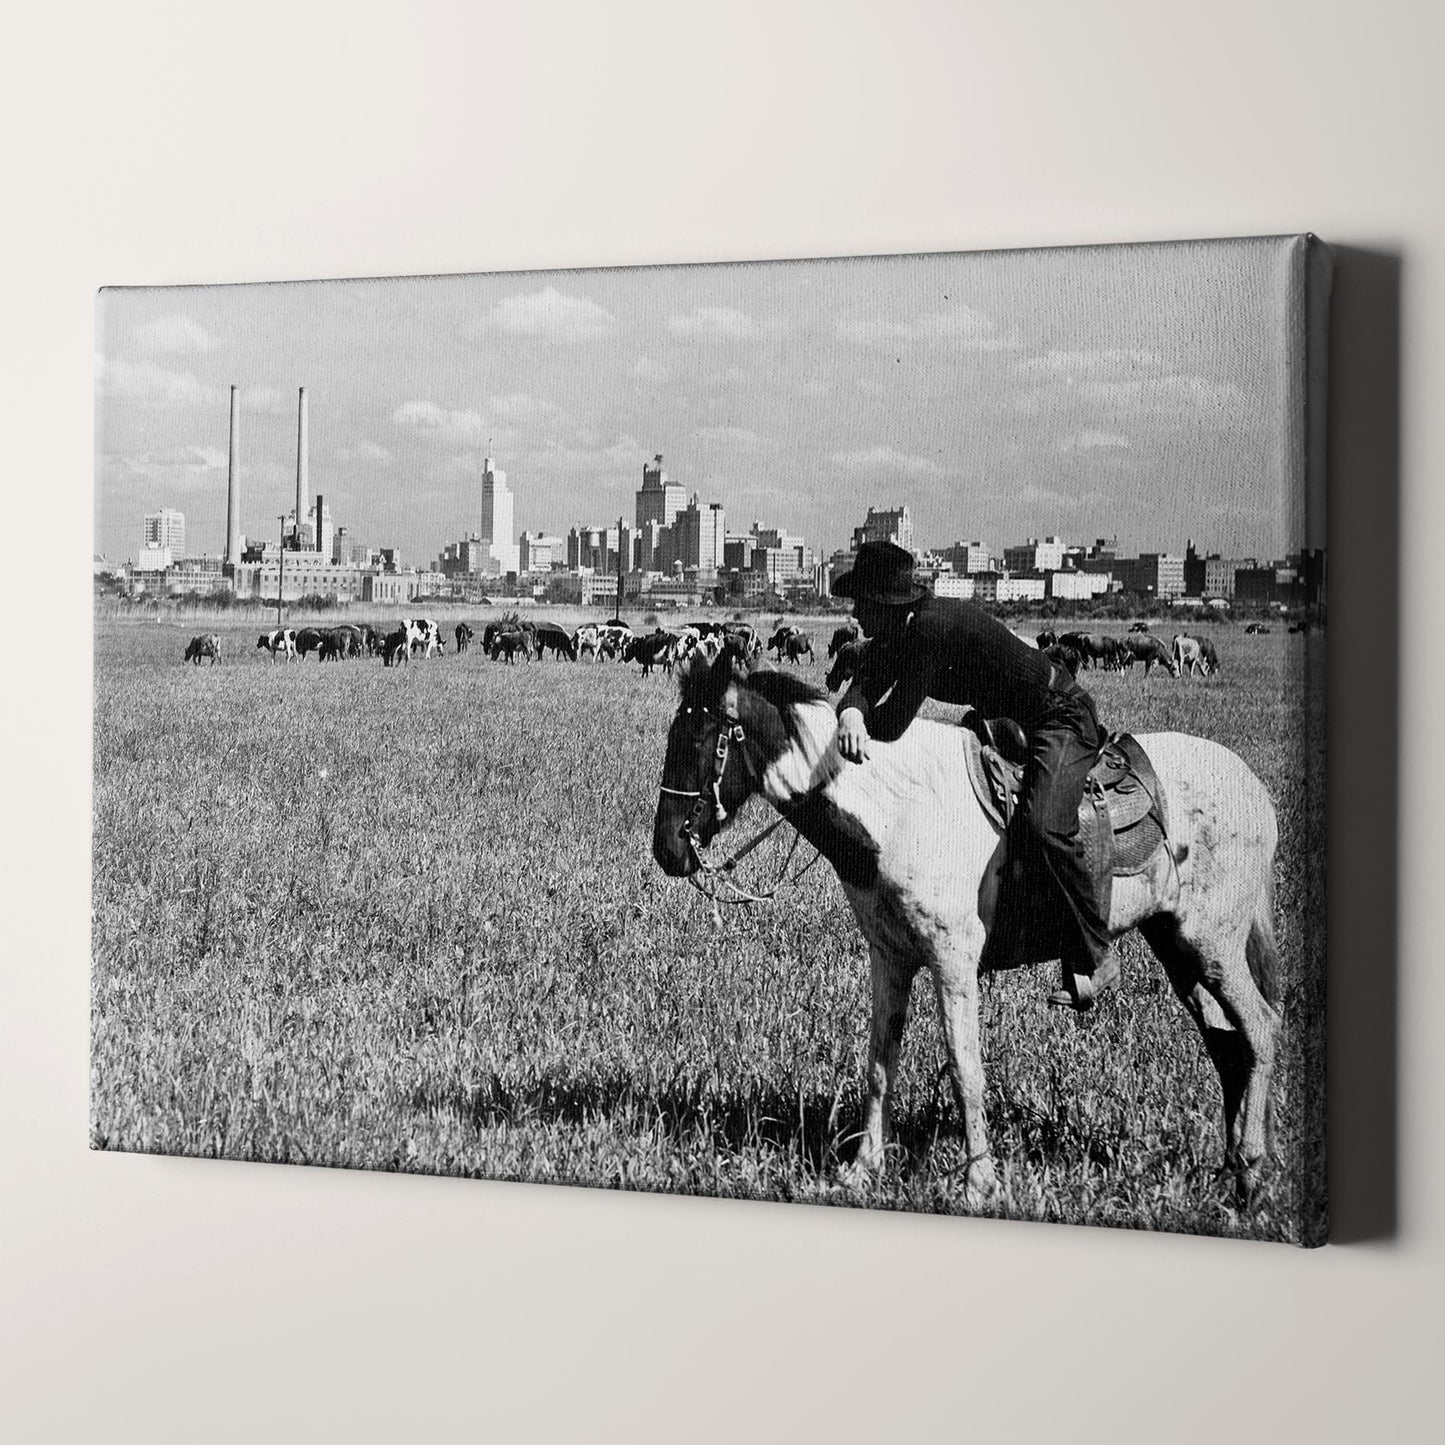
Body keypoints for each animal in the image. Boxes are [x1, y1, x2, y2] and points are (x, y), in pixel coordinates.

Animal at [650, 650, 1283, 1202]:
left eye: (700, 739)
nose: (666, 850)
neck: (897, 811)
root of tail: (1256, 790)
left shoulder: (953, 963)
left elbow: (965, 1069)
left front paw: (979, 1181)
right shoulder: (890, 957)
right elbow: (879, 1063)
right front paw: (862, 1169)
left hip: (1213, 944)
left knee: (1260, 1029)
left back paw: (1252, 1171)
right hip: (1175, 944)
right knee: (1227, 1046)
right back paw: (1230, 1171)